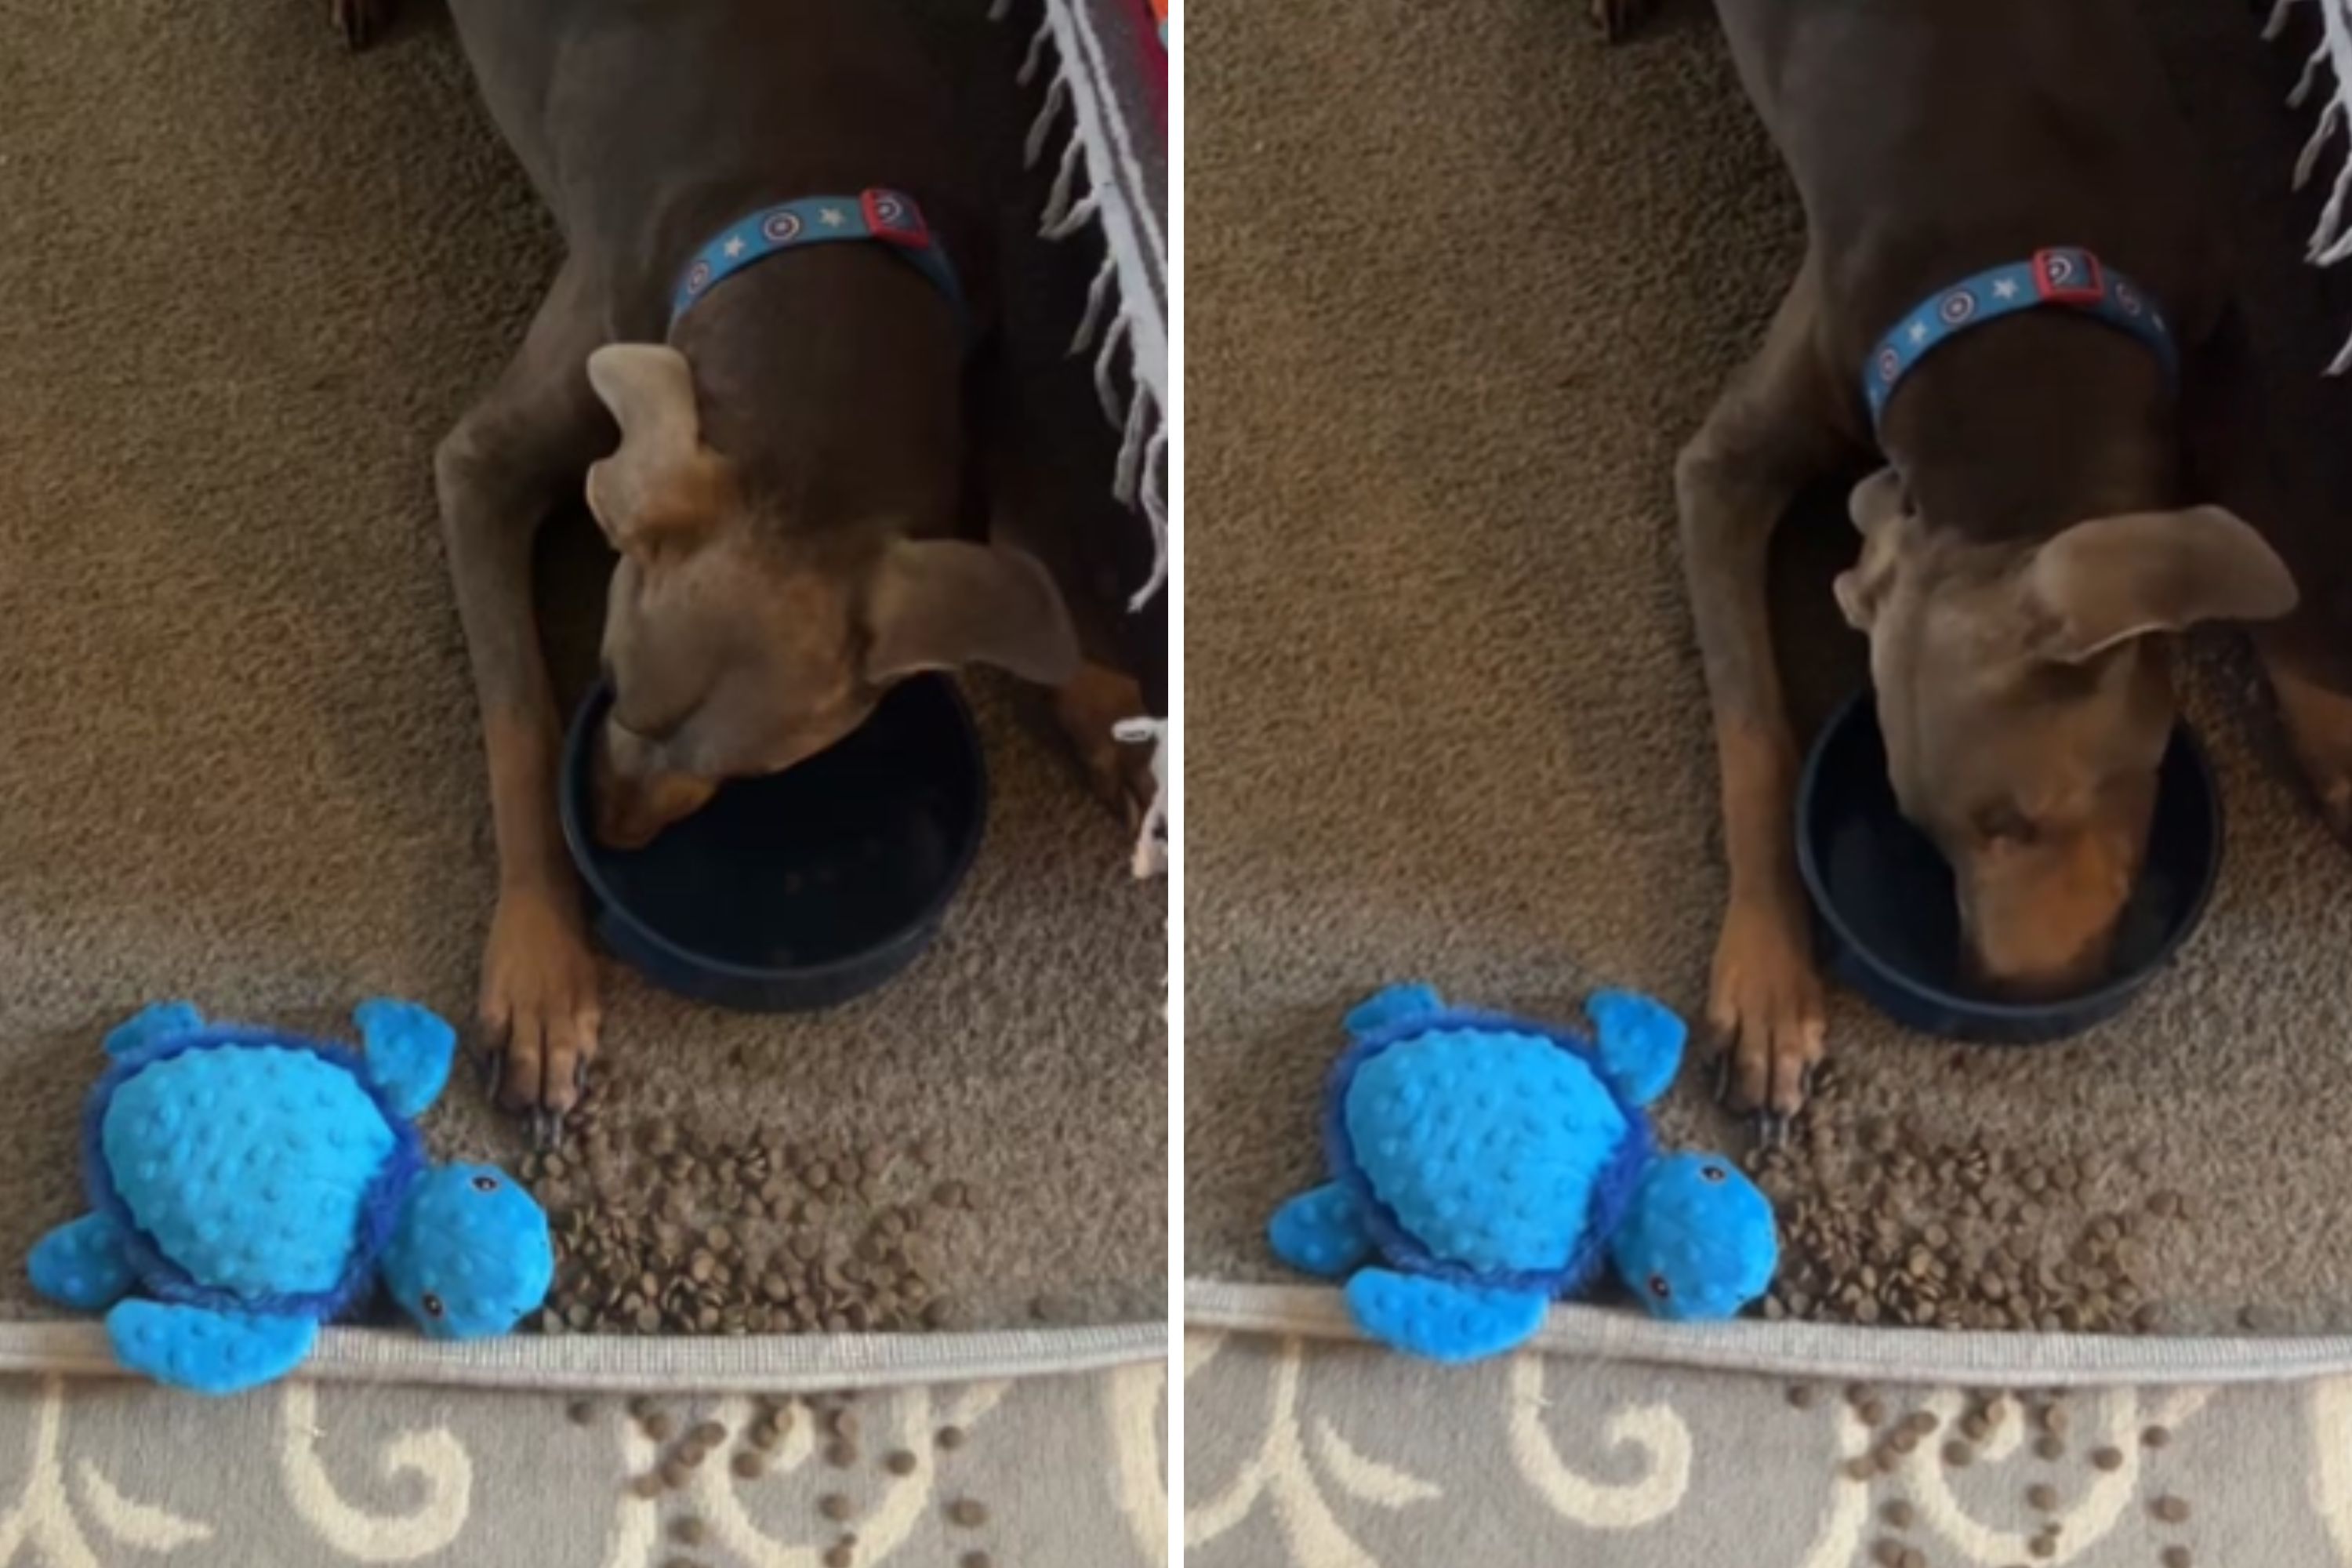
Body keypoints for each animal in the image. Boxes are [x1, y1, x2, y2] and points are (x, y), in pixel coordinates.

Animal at [343, 0, 1162, 1133]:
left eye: (756, 773)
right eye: (610, 687)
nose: (613, 834)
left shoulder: (984, 371)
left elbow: (1034, 554)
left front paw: (1119, 722)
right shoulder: (485, 463)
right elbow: (518, 720)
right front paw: (543, 976)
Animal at [1628, 0, 2352, 1133]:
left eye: (2023, 821)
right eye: (1920, 828)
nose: (1992, 1000)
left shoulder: (2224, 340)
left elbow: (2289, 579)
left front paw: (2344, 756)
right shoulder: (1725, 466)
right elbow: (1751, 732)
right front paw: (1768, 988)